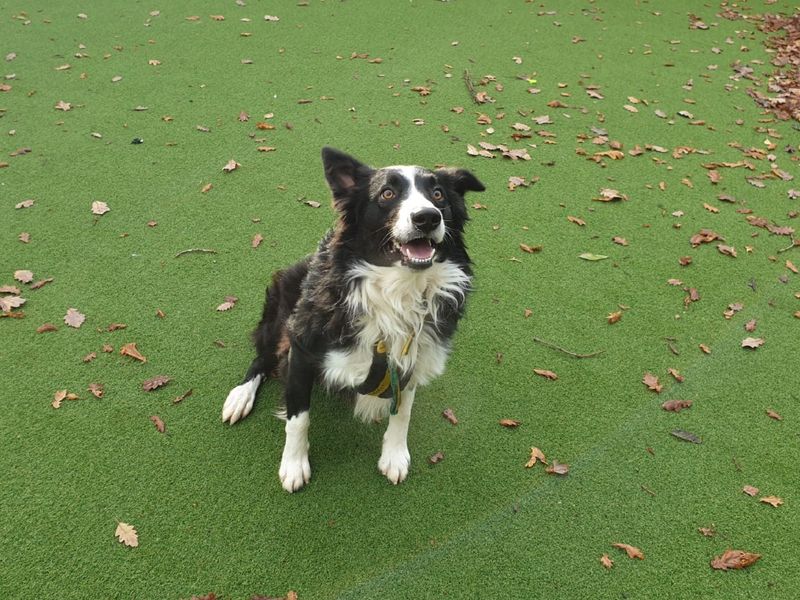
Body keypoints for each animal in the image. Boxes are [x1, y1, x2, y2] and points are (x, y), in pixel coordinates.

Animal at [222, 148, 484, 490]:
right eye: (387, 194)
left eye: (438, 194)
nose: (427, 217)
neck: (397, 291)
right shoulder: (302, 348)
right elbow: (298, 418)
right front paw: (294, 465)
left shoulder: (413, 354)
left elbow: (403, 412)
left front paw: (394, 456)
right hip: (281, 311)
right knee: (261, 359)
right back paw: (240, 397)